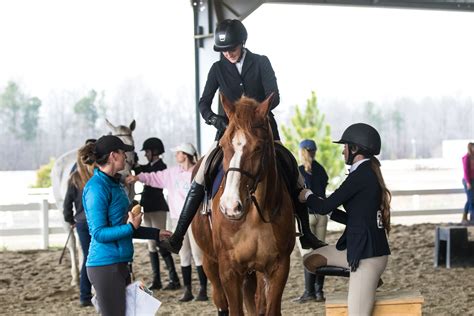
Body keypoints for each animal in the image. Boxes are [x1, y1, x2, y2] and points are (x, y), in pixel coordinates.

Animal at [191, 95, 294, 314]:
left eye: (258, 147)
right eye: (223, 145)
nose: (230, 206)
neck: (255, 214)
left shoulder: (278, 267)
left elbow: (269, 309)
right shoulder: (229, 269)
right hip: (210, 261)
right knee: (221, 301)